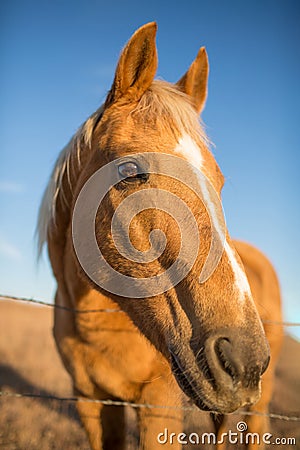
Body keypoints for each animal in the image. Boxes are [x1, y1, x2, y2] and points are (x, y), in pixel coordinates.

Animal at [38, 22, 284, 450]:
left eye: (219, 181)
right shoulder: (90, 402)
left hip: (261, 399)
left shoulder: (160, 403)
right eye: (130, 170)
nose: (244, 359)